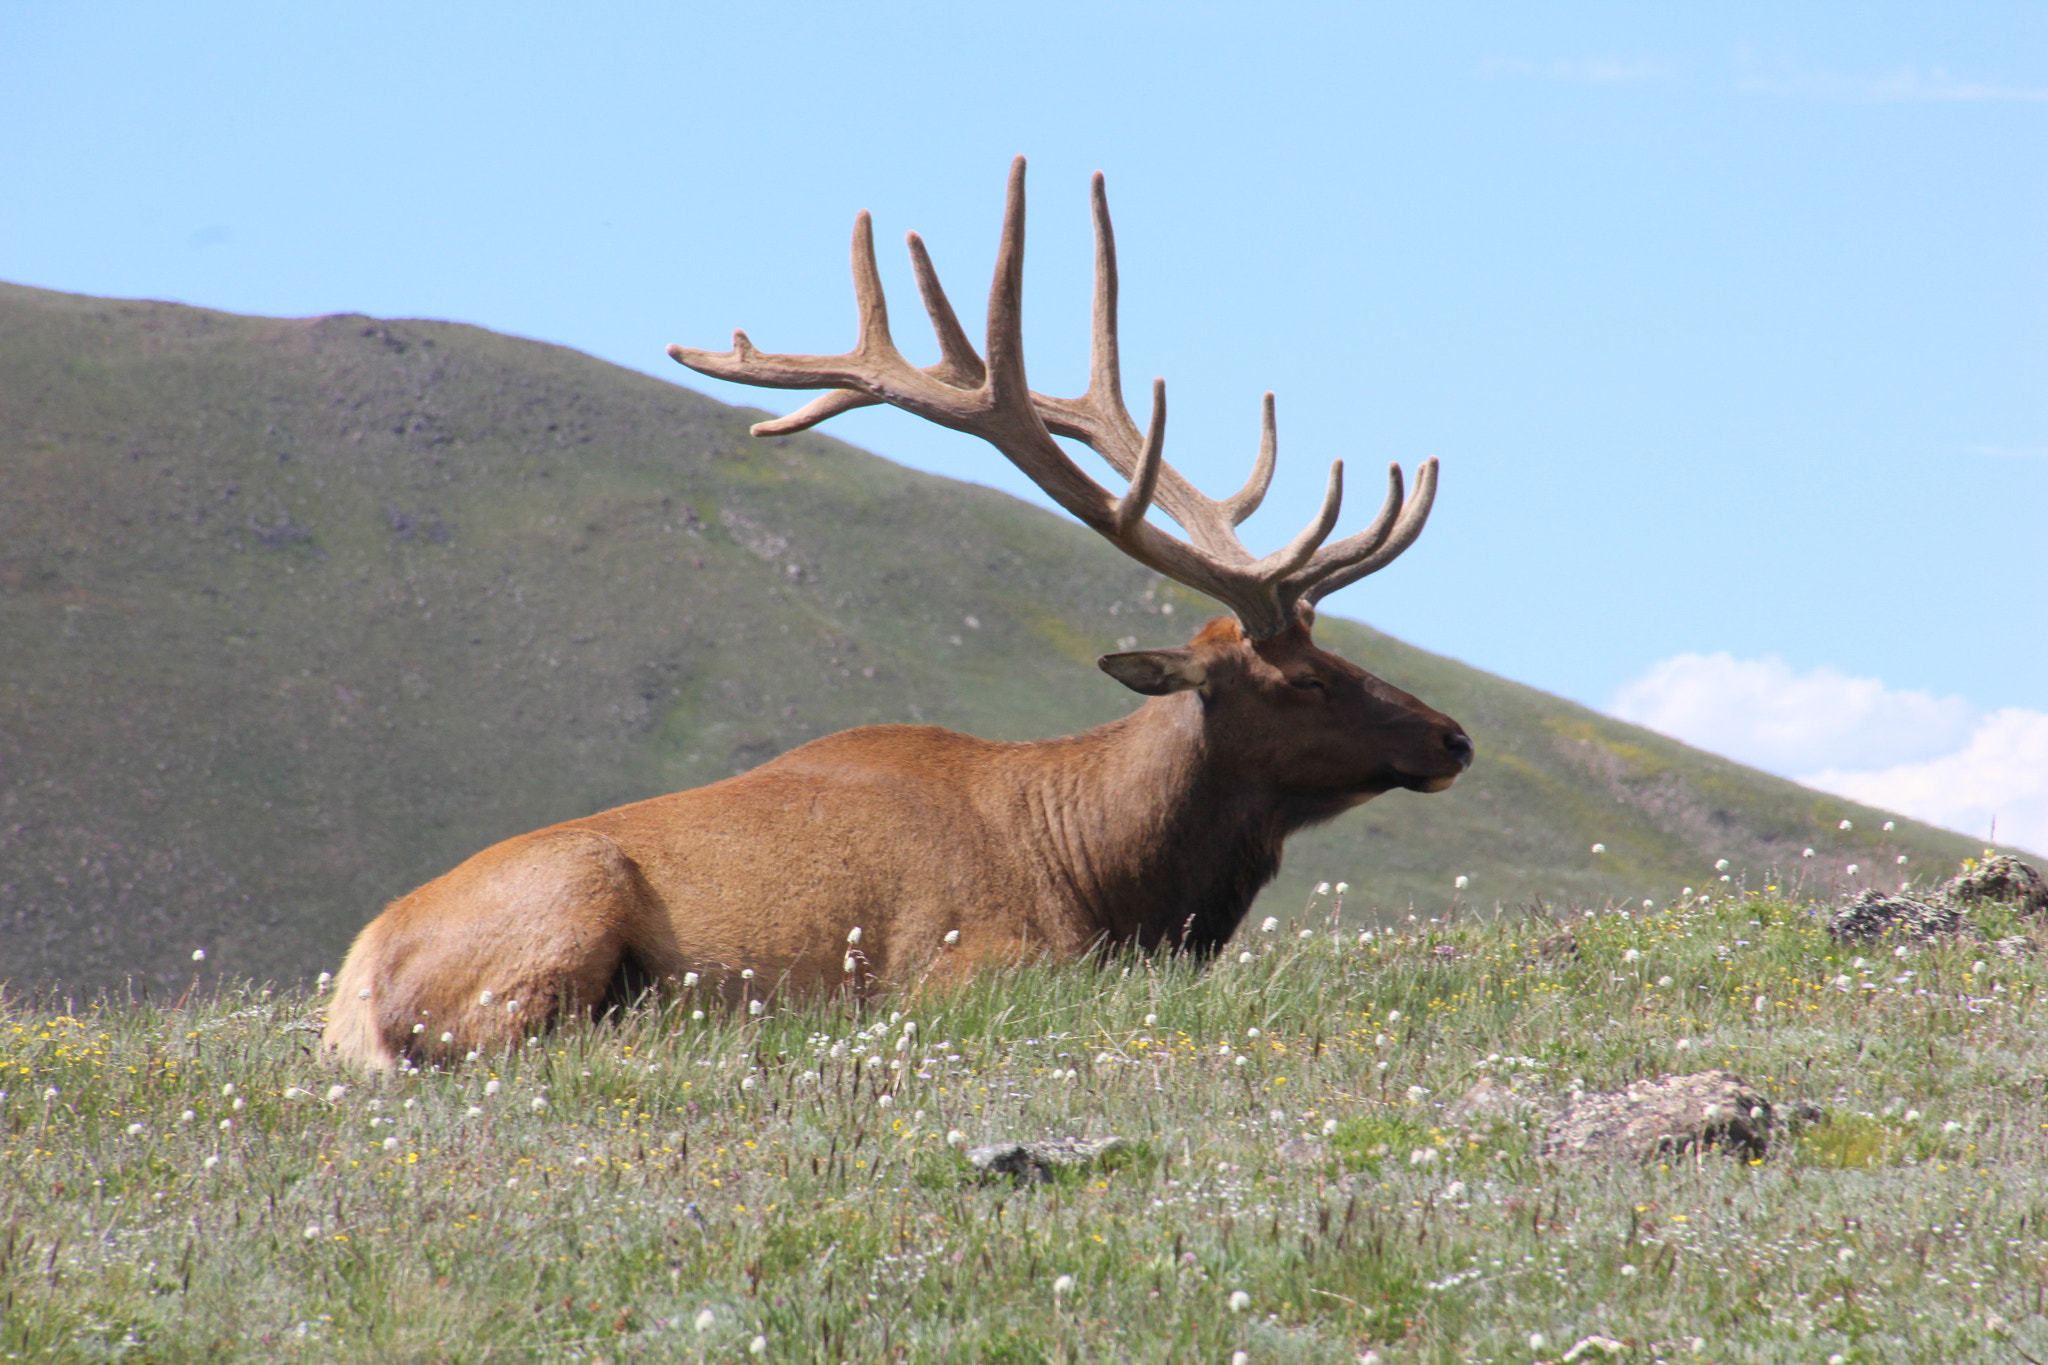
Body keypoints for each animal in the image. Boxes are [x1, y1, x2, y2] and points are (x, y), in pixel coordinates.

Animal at [320, 158, 1473, 1070]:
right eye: (1309, 679)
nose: (1453, 736)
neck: (1106, 873)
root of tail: (351, 993)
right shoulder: (970, 965)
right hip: (567, 905)